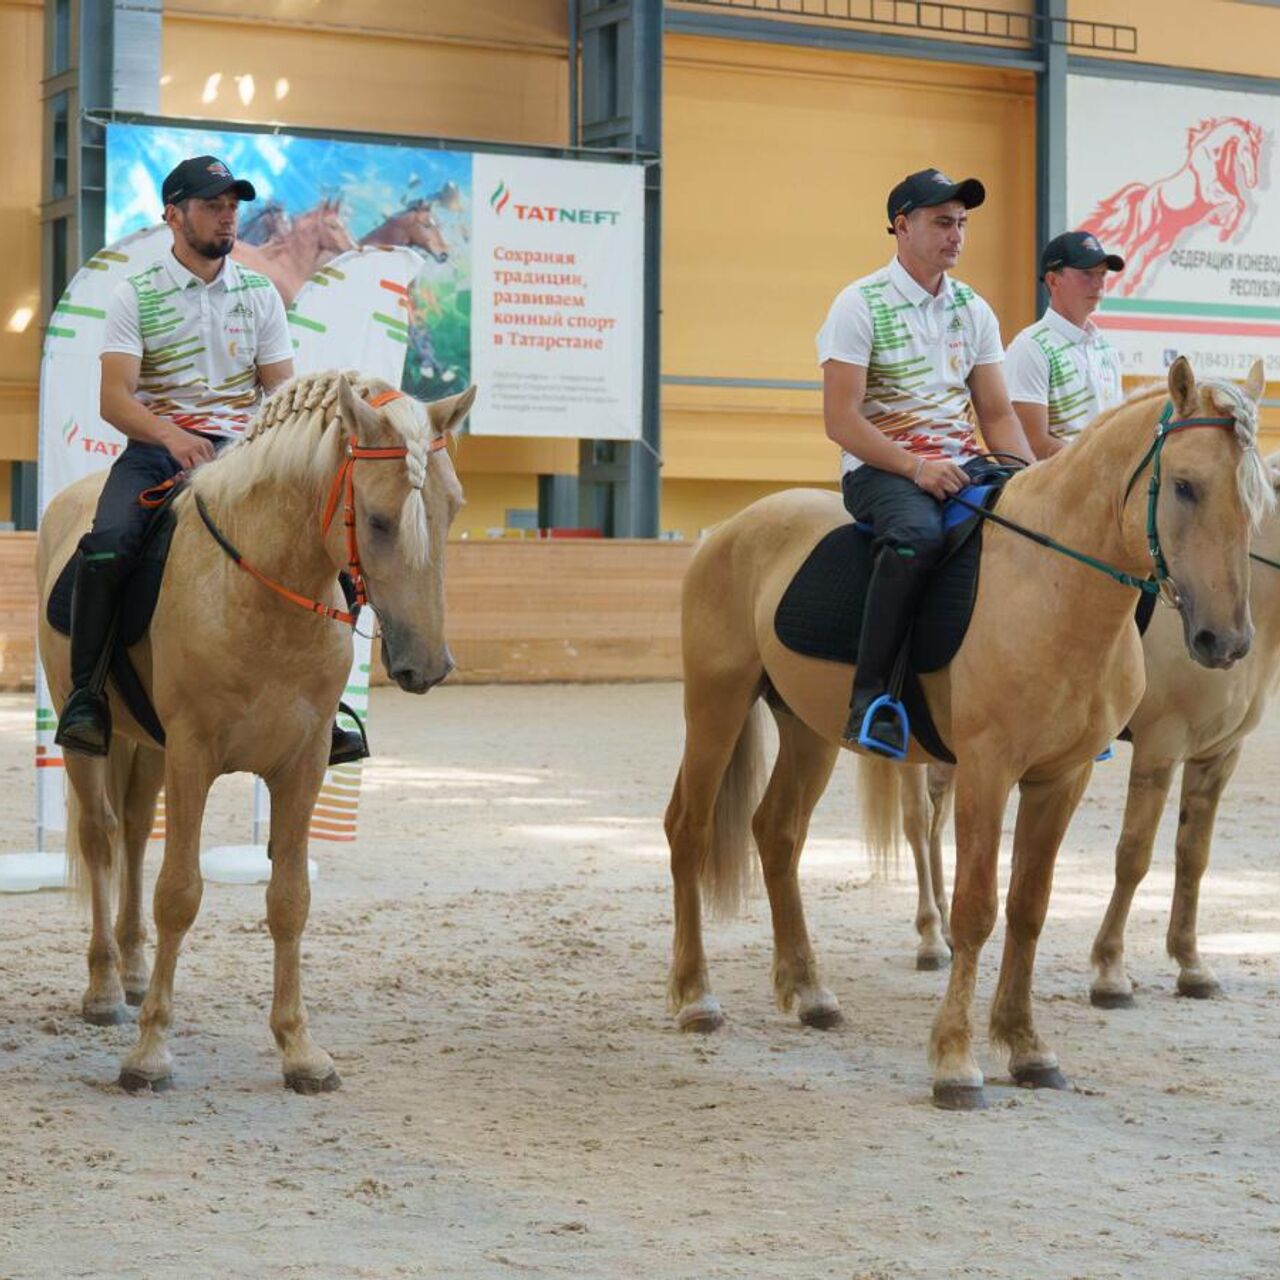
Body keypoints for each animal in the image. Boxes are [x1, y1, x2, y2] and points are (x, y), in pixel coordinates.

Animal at [38, 368, 476, 1090]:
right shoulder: (193, 754)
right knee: (101, 837)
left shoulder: (302, 762)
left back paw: (133, 972)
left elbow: (289, 898)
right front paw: (151, 1053)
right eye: (378, 519)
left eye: (454, 508)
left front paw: (300, 1050)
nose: (428, 665)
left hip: (147, 746)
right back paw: (104, 989)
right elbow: (180, 894)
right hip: (89, 737)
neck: (261, 591)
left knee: (134, 832)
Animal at [670, 360, 1269, 1111]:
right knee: (689, 831)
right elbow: (977, 909)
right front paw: (955, 1062)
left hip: (808, 727)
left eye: (1255, 499)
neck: (1054, 584)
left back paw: (810, 993)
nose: (1226, 642)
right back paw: (696, 998)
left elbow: (1030, 906)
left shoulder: (1063, 776)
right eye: (1185, 485)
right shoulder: (991, 768)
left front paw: (1027, 1047)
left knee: (777, 834)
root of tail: (732, 526)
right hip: (716, 702)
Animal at [1080, 114, 1269, 294]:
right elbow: (1236, 202)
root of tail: (1147, 192)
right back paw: (1116, 282)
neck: (1214, 157)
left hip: (1167, 236)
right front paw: (1225, 229)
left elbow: (1241, 202)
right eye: (1247, 148)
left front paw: (1224, 226)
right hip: (1148, 228)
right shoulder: (1210, 194)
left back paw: (1130, 285)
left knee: (1149, 254)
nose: (1252, 182)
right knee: (1133, 246)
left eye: (1257, 151)